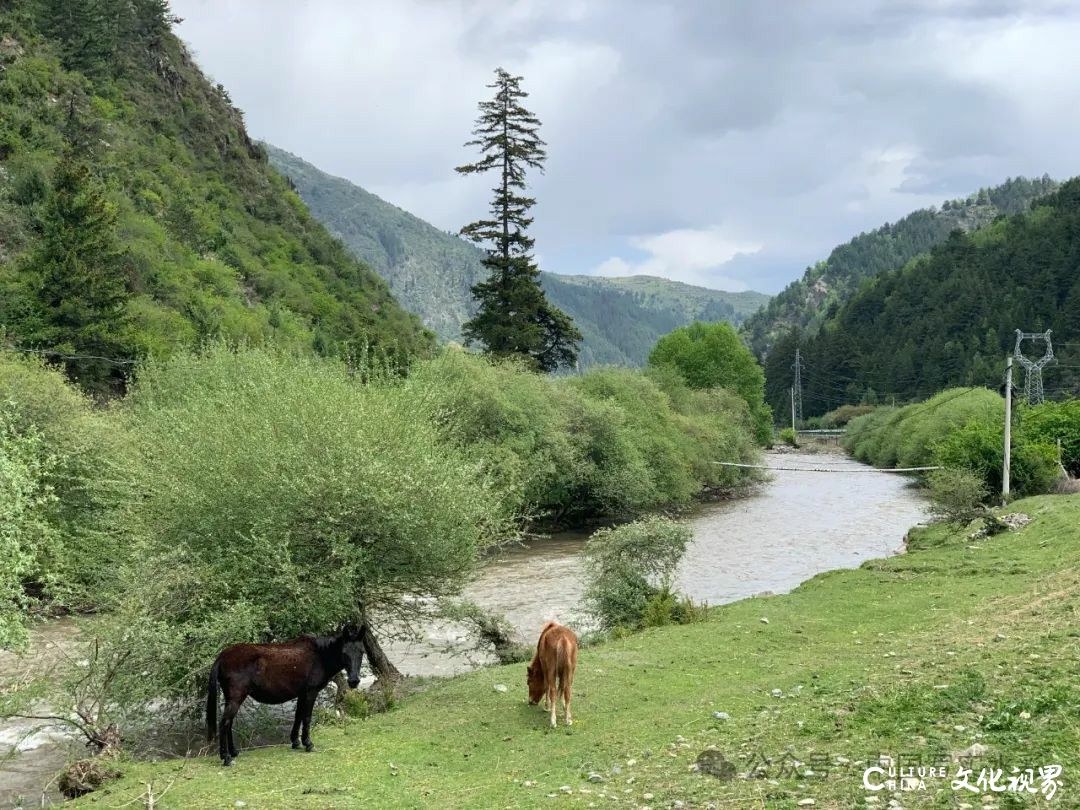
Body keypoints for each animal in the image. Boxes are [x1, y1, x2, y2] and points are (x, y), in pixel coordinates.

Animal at [204, 626, 365, 768]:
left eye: (362, 652)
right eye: (344, 653)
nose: (354, 681)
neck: (319, 655)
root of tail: (222, 656)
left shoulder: (302, 693)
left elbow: (298, 716)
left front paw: (296, 742)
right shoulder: (311, 692)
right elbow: (307, 717)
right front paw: (308, 744)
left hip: (231, 698)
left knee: (229, 723)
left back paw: (233, 752)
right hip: (236, 698)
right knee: (224, 723)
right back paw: (226, 758)